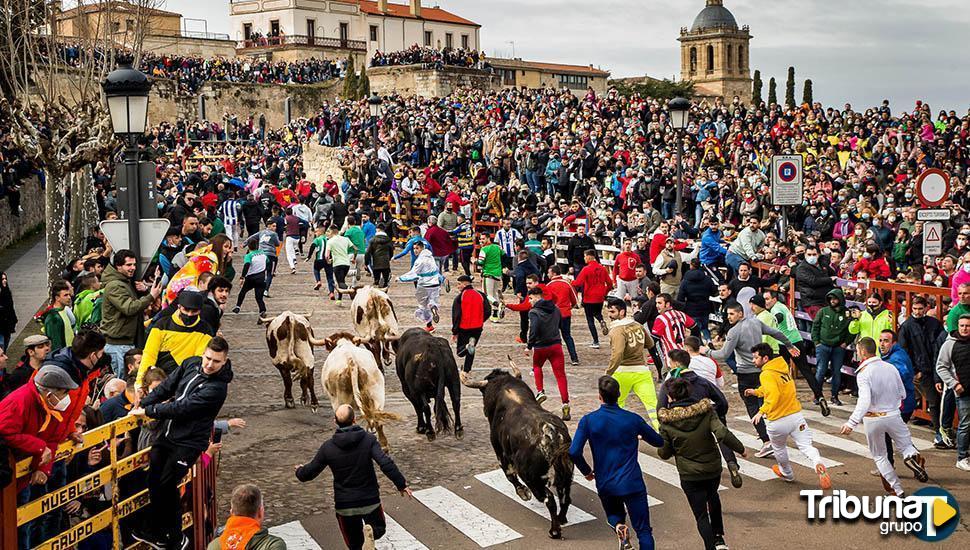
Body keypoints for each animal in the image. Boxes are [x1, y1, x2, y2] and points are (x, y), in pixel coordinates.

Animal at [462, 356, 576, 540]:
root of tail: (551, 433)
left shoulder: (500, 451)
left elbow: (509, 474)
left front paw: (523, 493)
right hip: (566, 473)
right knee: (565, 497)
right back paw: (561, 519)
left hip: (533, 479)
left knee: (549, 499)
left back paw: (554, 530)